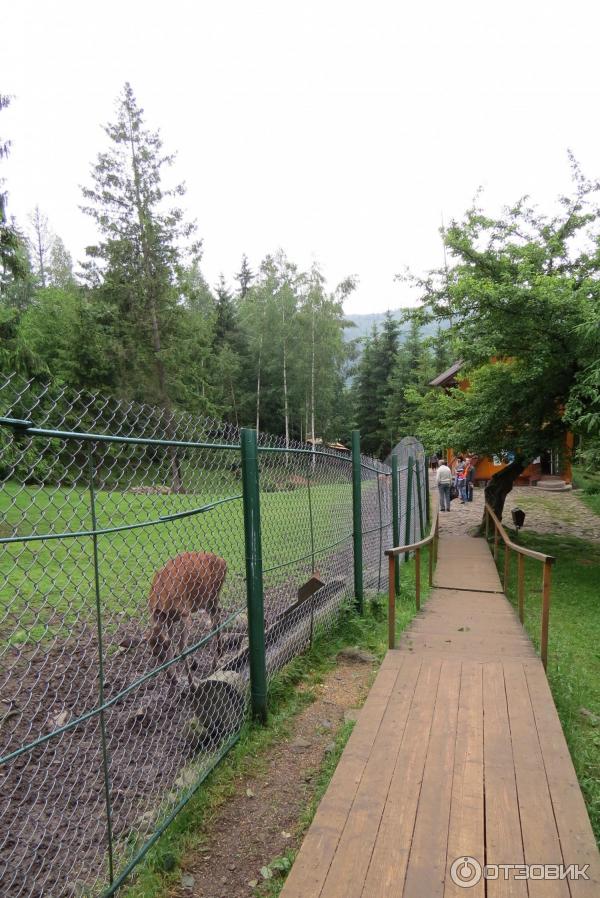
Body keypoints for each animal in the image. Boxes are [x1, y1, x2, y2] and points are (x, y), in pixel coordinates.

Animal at [148, 544, 227, 688]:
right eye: (152, 652)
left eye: (165, 646)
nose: (171, 679)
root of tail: (223, 561)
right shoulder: (169, 620)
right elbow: (174, 640)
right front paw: (190, 665)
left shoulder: (185, 613)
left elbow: (181, 647)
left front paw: (192, 684)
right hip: (205, 600)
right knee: (217, 615)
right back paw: (219, 653)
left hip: (213, 594)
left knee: (215, 619)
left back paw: (216, 659)